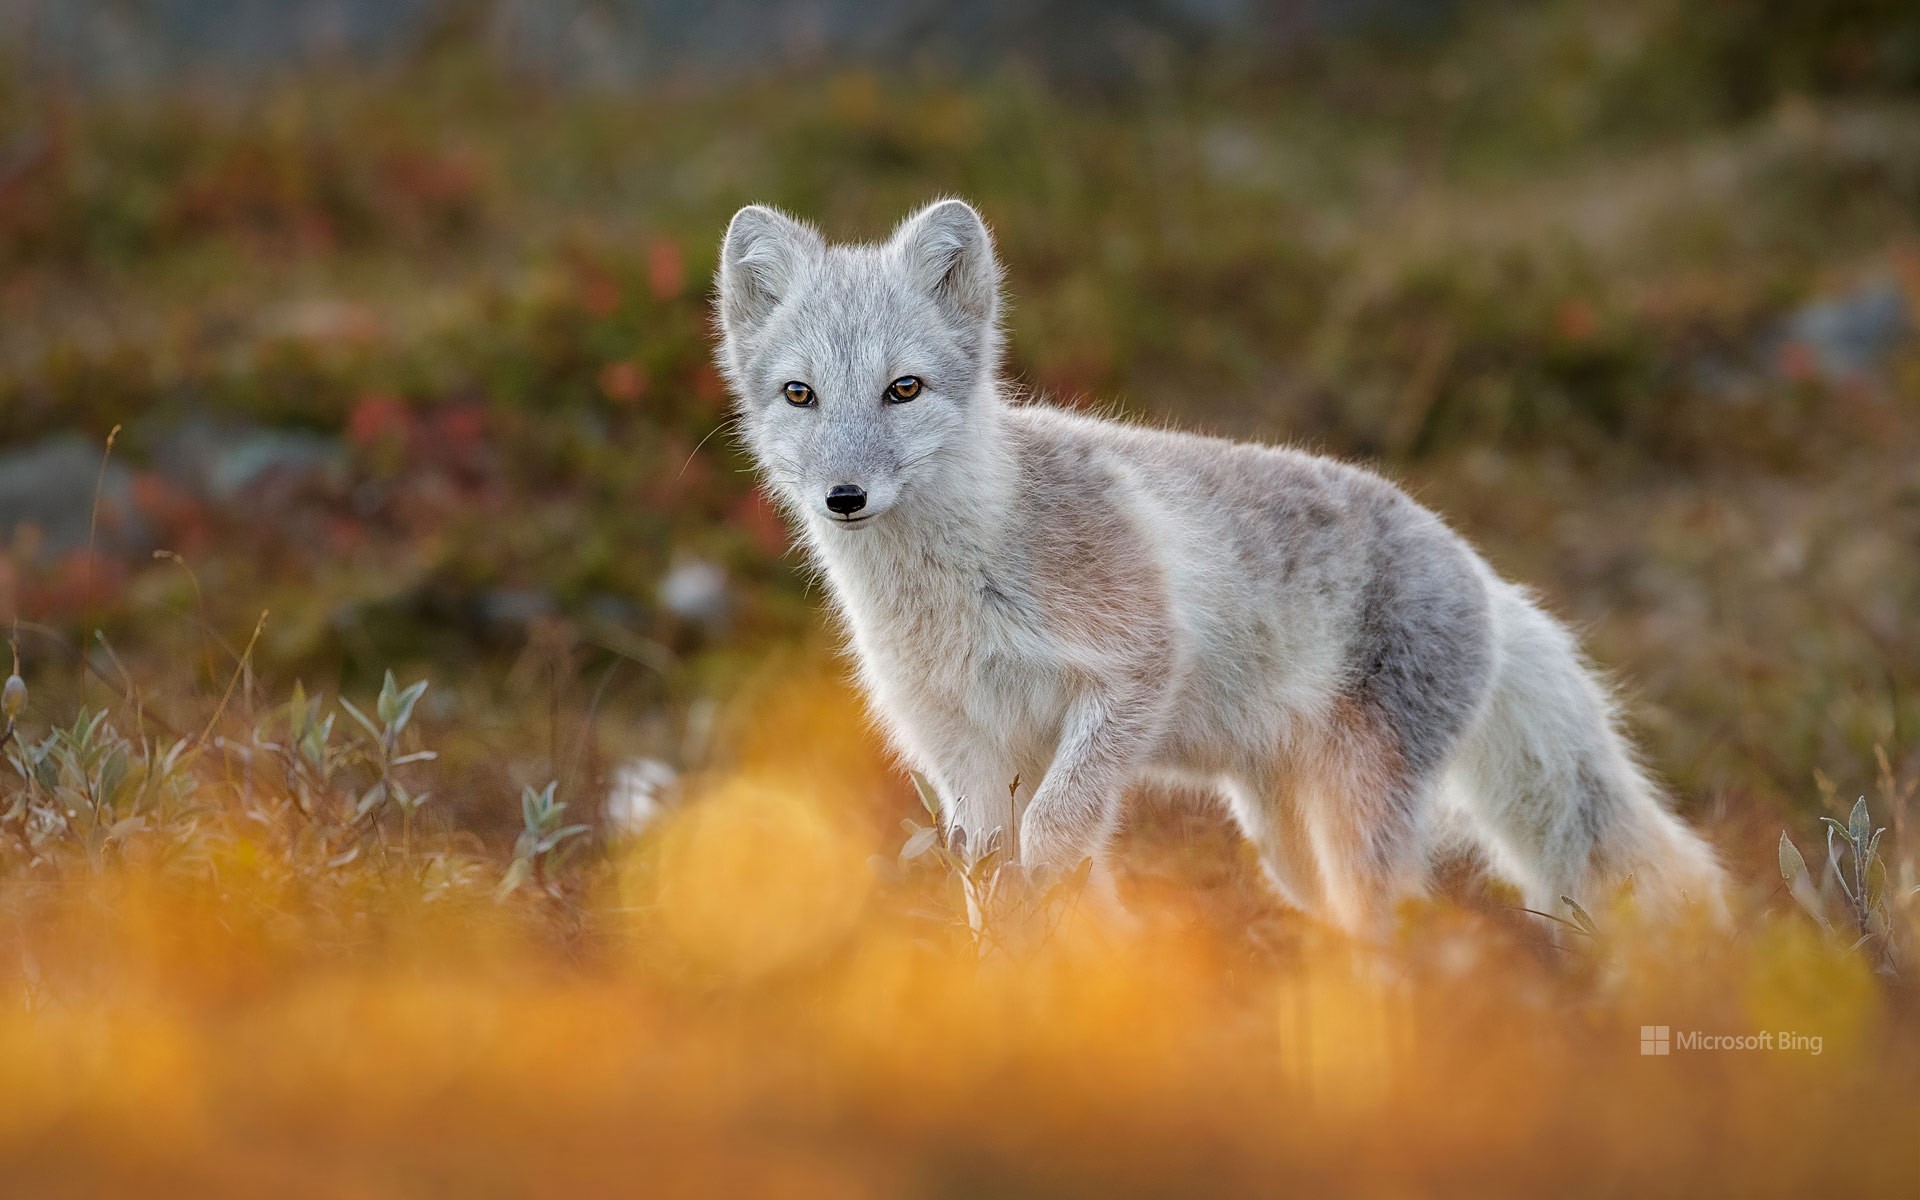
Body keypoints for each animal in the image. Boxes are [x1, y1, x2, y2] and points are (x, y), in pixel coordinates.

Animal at [714, 196, 1735, 933]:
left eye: (904, 389)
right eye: (800, 395)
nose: (844, 497)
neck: (954, 585)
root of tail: (1477, 568)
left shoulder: (1133, 671)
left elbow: (1053, 836)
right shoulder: (959, 743)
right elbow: (987, 869)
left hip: (1357, 812)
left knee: (1398, 929)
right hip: (1284, 836)